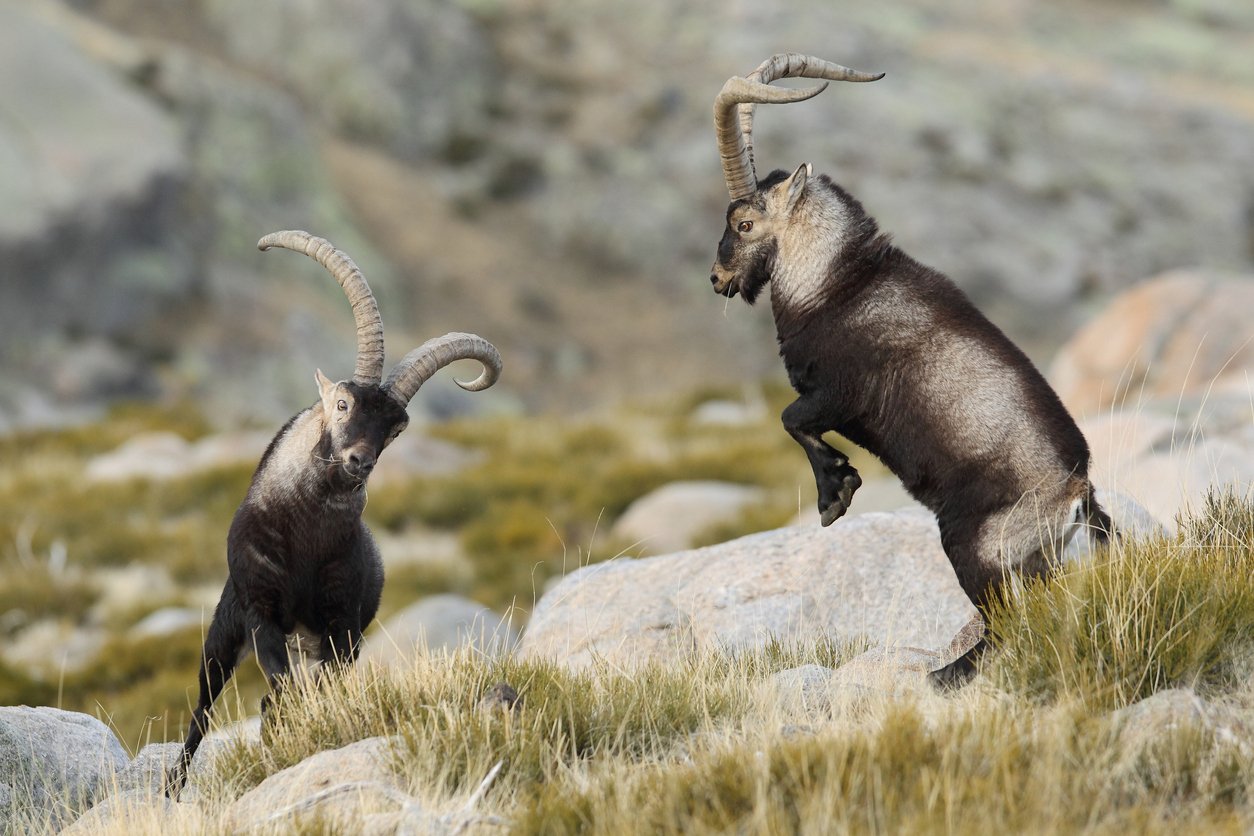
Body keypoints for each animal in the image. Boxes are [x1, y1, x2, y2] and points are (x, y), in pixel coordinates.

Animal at [165, 230, 501, 796]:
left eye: (396, 428)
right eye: (342, 404)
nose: (359, 462)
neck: (305, 536)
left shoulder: (341, 624)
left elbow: (306, 692)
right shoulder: (261, 612)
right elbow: (273, 686)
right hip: (224, 631)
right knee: (205, 706)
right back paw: (173, 784)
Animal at [707, 54, 1112, 689]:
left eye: (745, 224)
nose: (718, 279)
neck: (835, 285)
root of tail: (1075, 497)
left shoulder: (838, 394)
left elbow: (791, 419)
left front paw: (836, 493)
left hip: (972, 545)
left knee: (1007, 624)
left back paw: (944, 675)